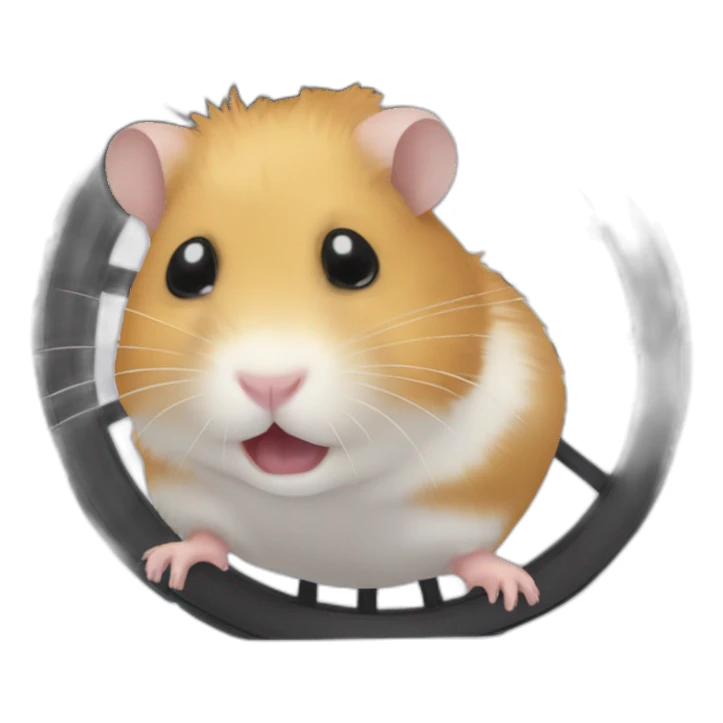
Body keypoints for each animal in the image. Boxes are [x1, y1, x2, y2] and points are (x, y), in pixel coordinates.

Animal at [105, 84, 565, 611]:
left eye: (352, 259)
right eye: (187, 268)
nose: (270, 384)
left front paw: (517, 592)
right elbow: (204, 533)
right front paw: (163, 564)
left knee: (468, 557)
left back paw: (509, 587)